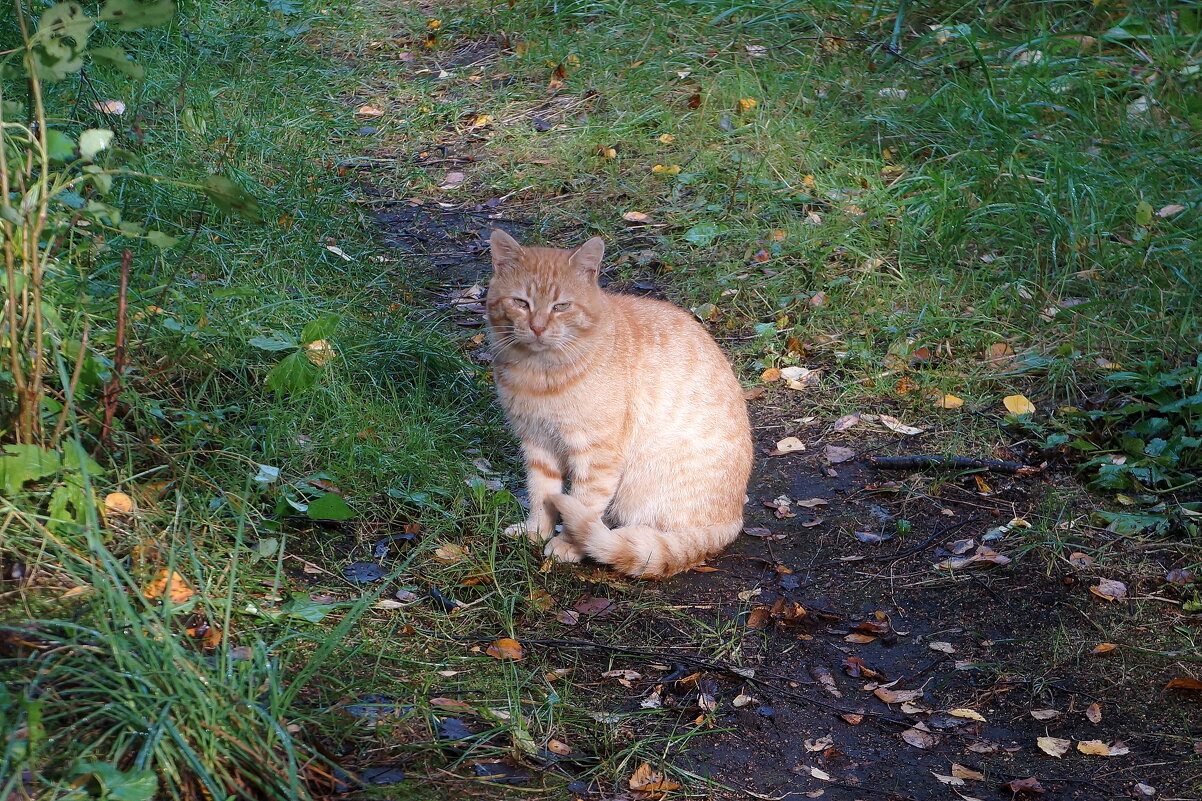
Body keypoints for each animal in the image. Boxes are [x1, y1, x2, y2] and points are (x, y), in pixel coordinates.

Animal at [480, 229, 745, 574]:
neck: (539, 373)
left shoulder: (597, 455)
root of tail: (733, 519)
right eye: (520, 303)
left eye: (561, 306)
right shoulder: (537, 443)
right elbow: (541, 492)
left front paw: (568, 544)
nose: (537, 327)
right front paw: (536, 531)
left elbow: (584, 502)